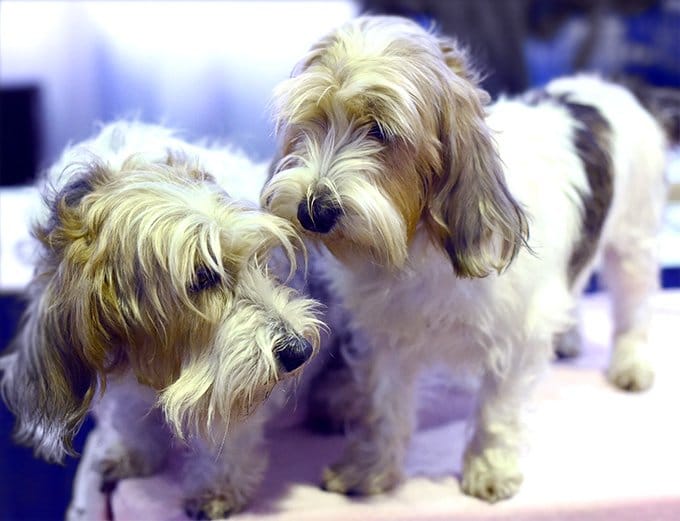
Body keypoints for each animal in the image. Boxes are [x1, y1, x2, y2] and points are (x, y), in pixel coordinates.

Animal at [0, 121, 322, 516]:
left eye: (259, 259)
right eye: (203, 276)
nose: (301, 351)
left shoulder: (230, 381)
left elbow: (227, 442)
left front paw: (216, 490)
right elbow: (131, 420)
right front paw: (136, 456)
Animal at [262, 16, 668, 502]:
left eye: (379, 130)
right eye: (312, 121)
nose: (313, 211)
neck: (419, 243)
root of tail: (616, 87)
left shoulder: (517, 334)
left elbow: (497, 414)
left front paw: (490, 468)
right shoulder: (388, 335)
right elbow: (384, 409)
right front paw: (371, 468)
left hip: (633, 242)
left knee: (634, 308)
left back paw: (631, 363)